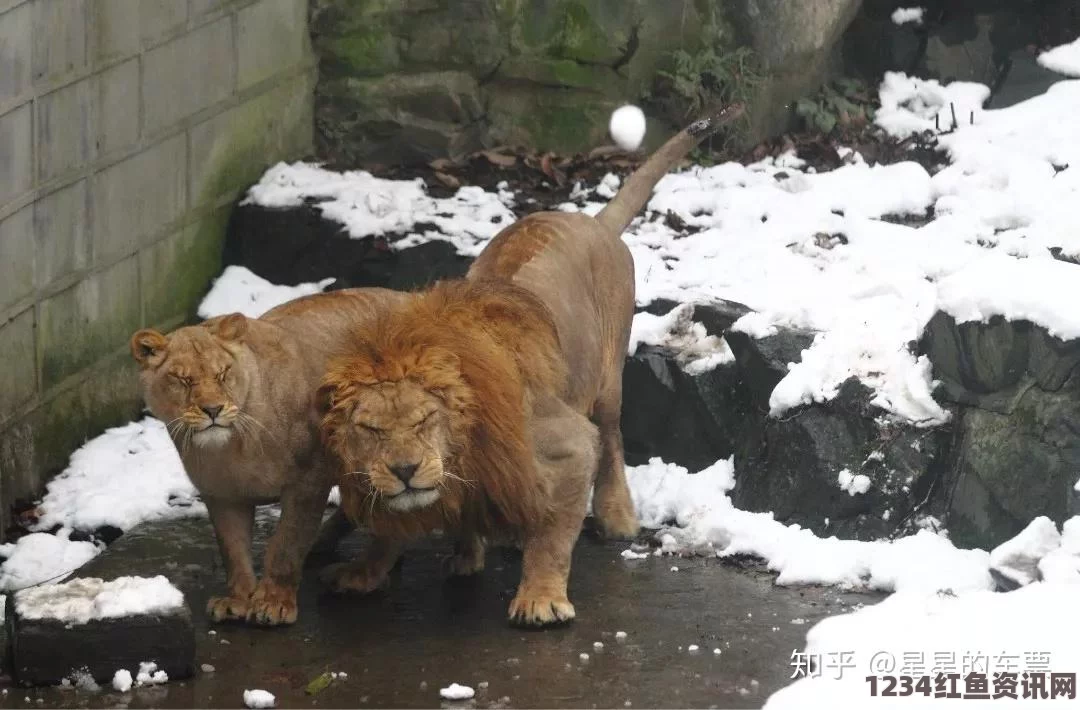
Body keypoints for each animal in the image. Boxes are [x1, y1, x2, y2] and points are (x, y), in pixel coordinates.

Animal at [129, 285, 406, 622]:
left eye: (223, 374)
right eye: (183, 380)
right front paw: (237, 599)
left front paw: (273, 602)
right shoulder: (221, 494)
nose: (213, 410)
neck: (231, 447)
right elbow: (233, 550)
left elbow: (286, 545)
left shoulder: (308, 480)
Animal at [315, 106, 747, 626]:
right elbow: (389, 526)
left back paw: (616, 517)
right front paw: (364, 569)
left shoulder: (568, 443)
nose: (404, 469)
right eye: (370, 429)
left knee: (612, 438)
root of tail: (593, 222)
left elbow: (553, 534)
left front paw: (541, 598)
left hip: (607, 378)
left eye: (424, 420)